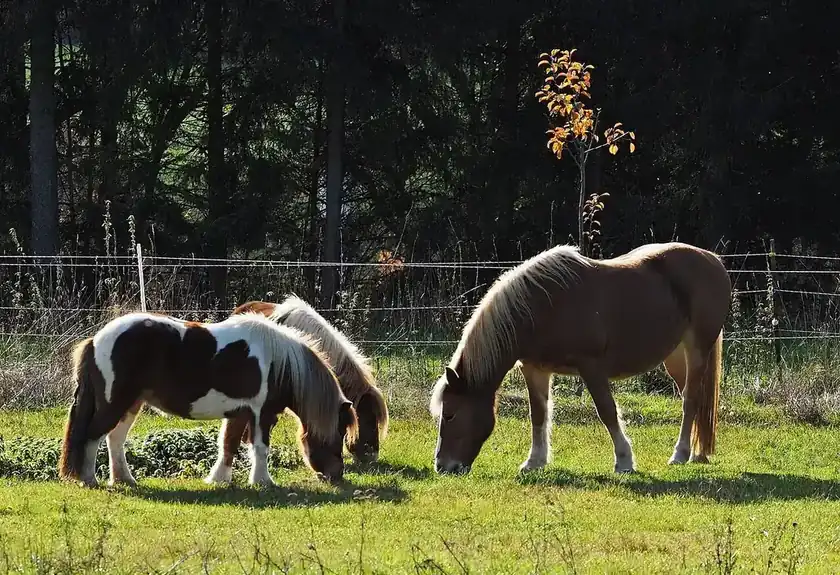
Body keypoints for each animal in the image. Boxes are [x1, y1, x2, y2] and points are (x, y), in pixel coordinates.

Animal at [58, 311, 357, 488]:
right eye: (340, 432)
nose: (336, 475)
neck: (279, 363)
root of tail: (96, 340)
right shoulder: (262, 413)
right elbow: (260, 448)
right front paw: (262, 481)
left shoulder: (240, 413)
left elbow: (228, 445)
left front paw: (218, 479)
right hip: (115, 401)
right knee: (93, 436)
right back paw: (89, 479)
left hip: (130, 403)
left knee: (114, 439)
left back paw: (124, 479)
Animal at [430, 242, 731, 475]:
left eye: (451, 414)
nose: (442, 466)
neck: (541, 306)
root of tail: (713, 260)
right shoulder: (535, 369)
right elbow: (538, 414)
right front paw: (534, 461)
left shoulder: (591, 367)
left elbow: (607, 411)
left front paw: (624, 461)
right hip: (676, 358)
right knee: (693, 399)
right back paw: (698, 453)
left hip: (697, 350)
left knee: (691, 401)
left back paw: (680, 454)